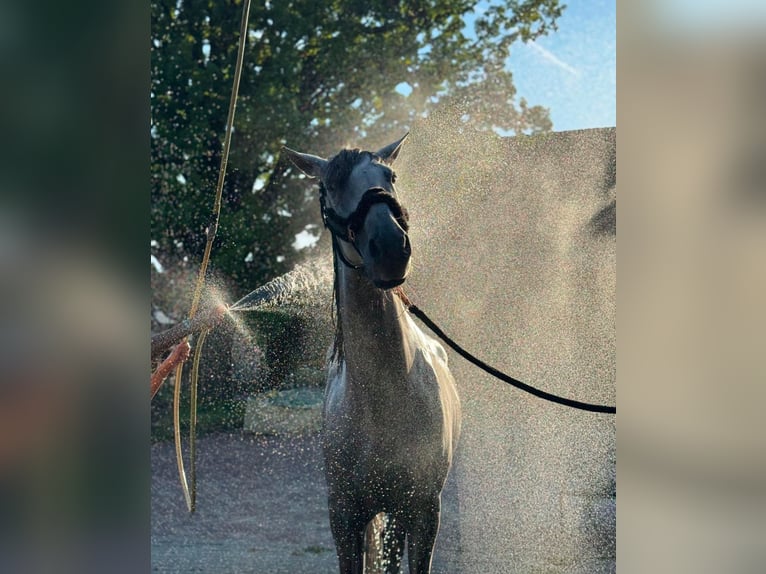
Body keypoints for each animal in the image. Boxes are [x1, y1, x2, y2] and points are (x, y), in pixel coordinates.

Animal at [282, 133, 462, 572]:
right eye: (329, 187)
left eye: (390, 176)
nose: (391, 248)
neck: (385, 398)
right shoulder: (344, 517)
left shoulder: (423, 511)